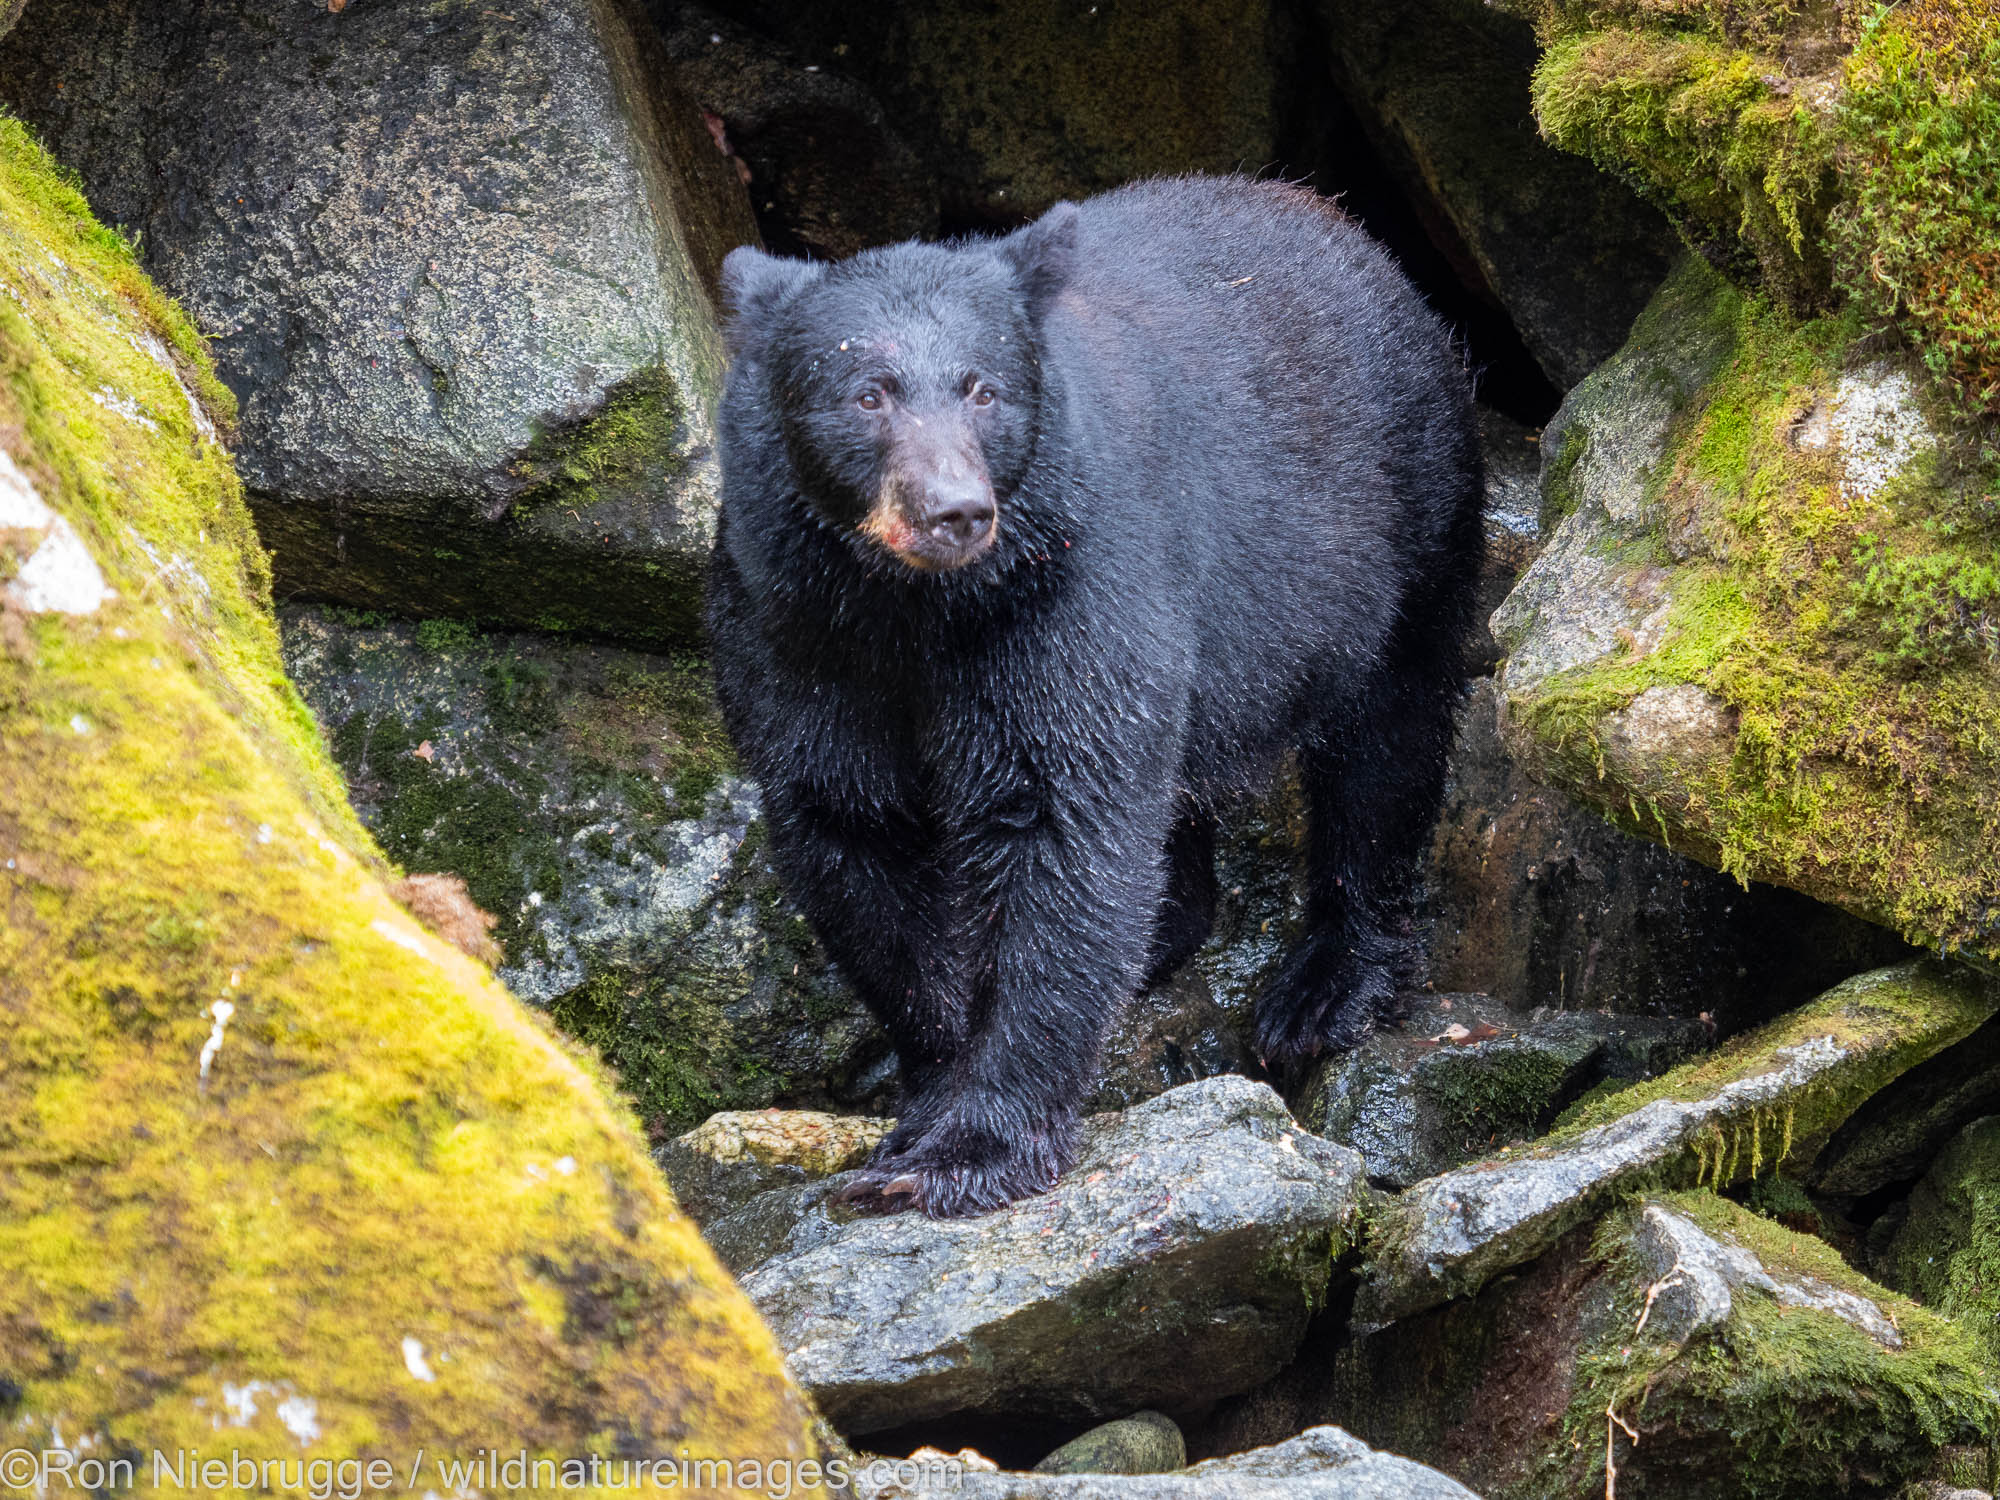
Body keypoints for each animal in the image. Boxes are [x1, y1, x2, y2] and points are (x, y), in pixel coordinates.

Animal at [712, 173, 1480, 1224]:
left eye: (982, 387)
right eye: (866, 392)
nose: (956, 510)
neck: (917, 609)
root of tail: (1338, 221)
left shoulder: (1071, 586)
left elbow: (1062, 824)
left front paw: (972, 1148)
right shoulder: (794, 630)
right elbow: (850, 835)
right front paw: (925, 1102)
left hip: (1398, 518)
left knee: (1385, 741)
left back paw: (1326, 987)